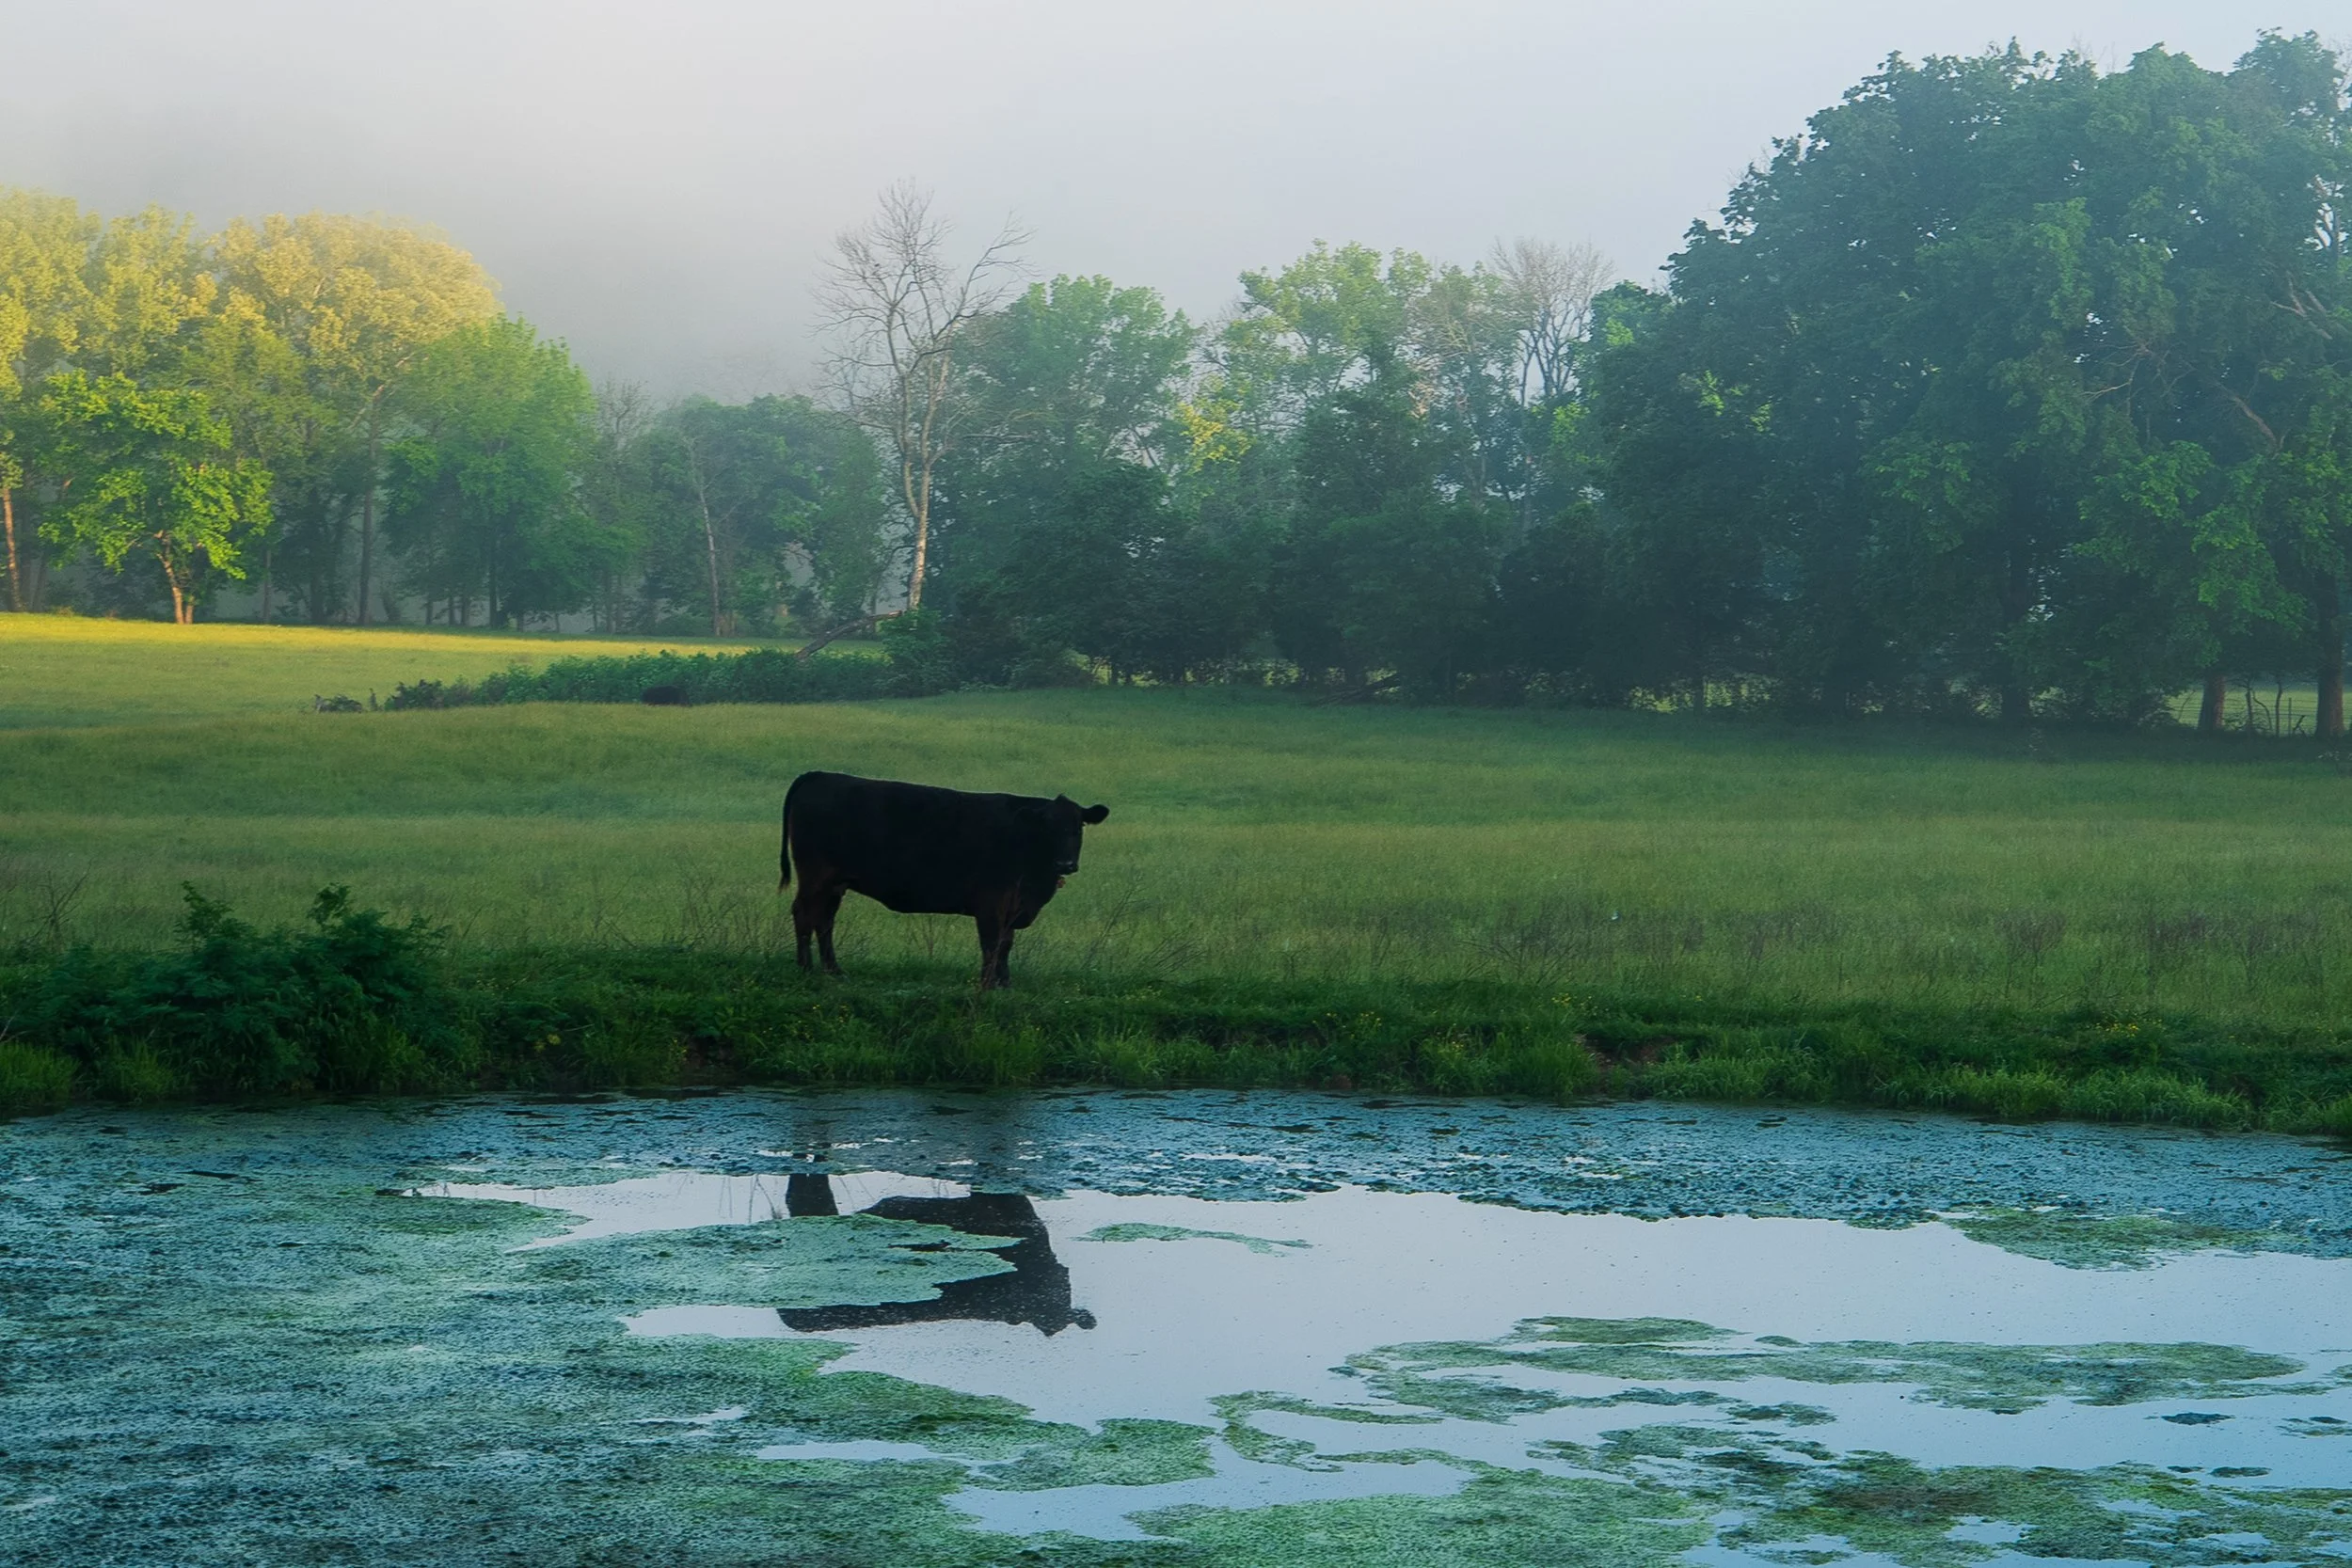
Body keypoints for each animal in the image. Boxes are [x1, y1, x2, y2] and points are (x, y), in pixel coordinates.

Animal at [779, 770, 1108, 989]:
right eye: (1047, 827)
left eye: (1078, 827)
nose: (1065, 863)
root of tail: (820, 775)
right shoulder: (991, 903)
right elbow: (992, 944)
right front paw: (988, 984)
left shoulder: (1012, 906)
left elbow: (1006, 944)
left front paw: (1004, 982)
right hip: (816, 876)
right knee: (804, 914)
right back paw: (805, 967)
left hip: (835, 883)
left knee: (824, 921)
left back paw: (833, 970)